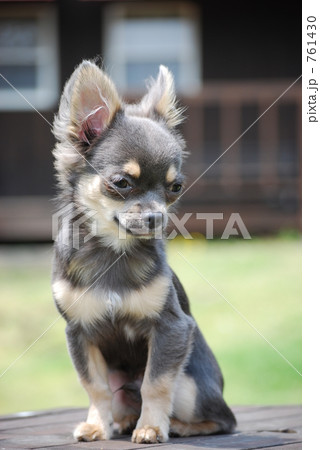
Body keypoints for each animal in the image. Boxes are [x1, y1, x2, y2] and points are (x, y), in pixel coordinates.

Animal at [51, 59, 236, 442]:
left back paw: (178, 425)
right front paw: (97, 425)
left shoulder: (171, 329)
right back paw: (121, 421)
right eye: (121, 183)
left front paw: (151, 427)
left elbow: (156, 384)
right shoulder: (80, 333)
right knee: (119, 395)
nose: (156, 217)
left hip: (192, 385)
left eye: (175, 187)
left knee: (224, 419)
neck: (113, 252)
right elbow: (95, 387)